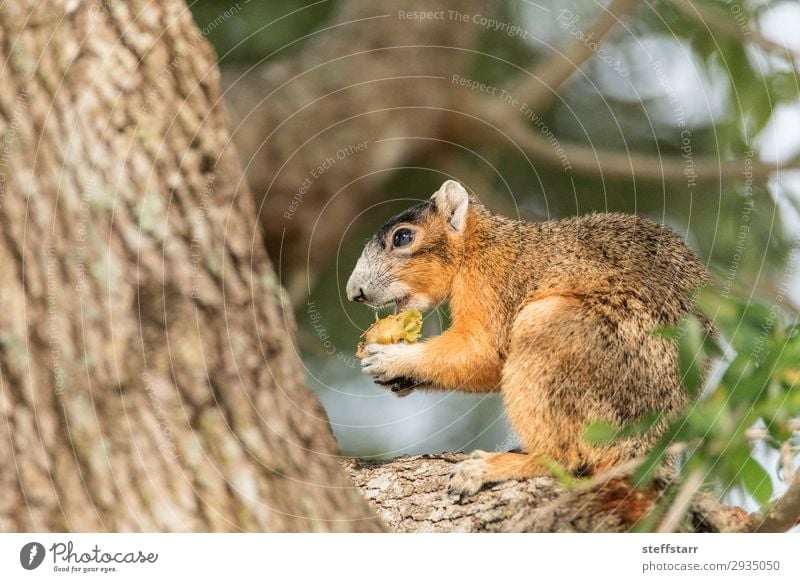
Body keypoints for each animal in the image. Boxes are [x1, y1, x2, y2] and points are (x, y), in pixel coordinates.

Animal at [344, 180, 708, 500]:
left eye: (403, 237)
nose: (354, 292)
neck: (478, 246)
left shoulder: (491, 285)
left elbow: (482, 350)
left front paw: (393, 359)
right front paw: (399, 376)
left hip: (559, 335)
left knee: (565, 459)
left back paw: (495, 466)